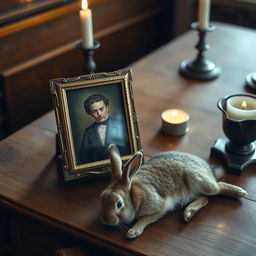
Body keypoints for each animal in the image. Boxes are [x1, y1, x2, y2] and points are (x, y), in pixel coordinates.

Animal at [99, 145, 248, 239]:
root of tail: (209, 169)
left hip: (199, 179)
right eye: (101, 198)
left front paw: (133, 232)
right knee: (204, 198)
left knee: (218, 187)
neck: (134, 196)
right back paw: (188, 213)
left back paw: (240, 192)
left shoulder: (160, 207)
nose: (105, 220)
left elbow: (146, 218)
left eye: (119, 204)